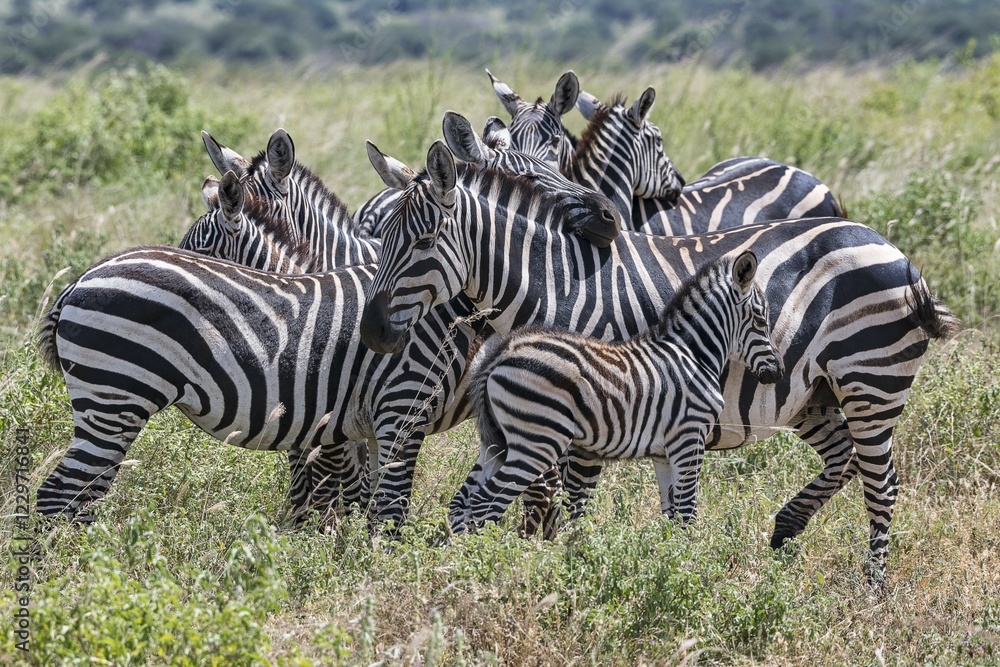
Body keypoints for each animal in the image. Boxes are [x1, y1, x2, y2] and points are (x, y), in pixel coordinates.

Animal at [449, 250, 783, 534]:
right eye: (760, 319)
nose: (778, 372)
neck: (693, 354)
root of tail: (503, 351)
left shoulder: (663, 453)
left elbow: (672, 514)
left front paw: (669, 556)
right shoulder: (689, 437)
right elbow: (687, 511)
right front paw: (689, 559)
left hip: (498, 442)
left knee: (464, 502)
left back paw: (463, 557)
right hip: (537, 442)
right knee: (487, 503)